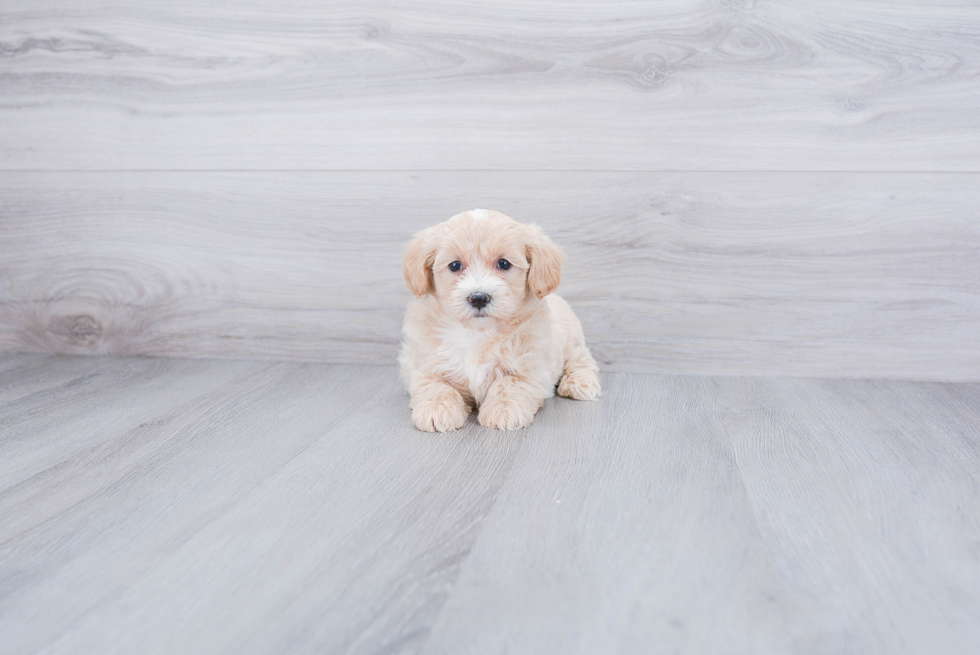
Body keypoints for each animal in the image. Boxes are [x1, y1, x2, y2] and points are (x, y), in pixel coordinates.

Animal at [396, 208, 596, 434]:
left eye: (504, 263)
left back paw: (581, 383)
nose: (478, 298)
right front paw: (437, 409)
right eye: (455, 265)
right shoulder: (423, 364)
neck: (476, 332)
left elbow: (508, 383)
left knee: (581, 358)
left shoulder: (530, 368)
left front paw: (504, 411)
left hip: (571, 340)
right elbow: (435, 385)